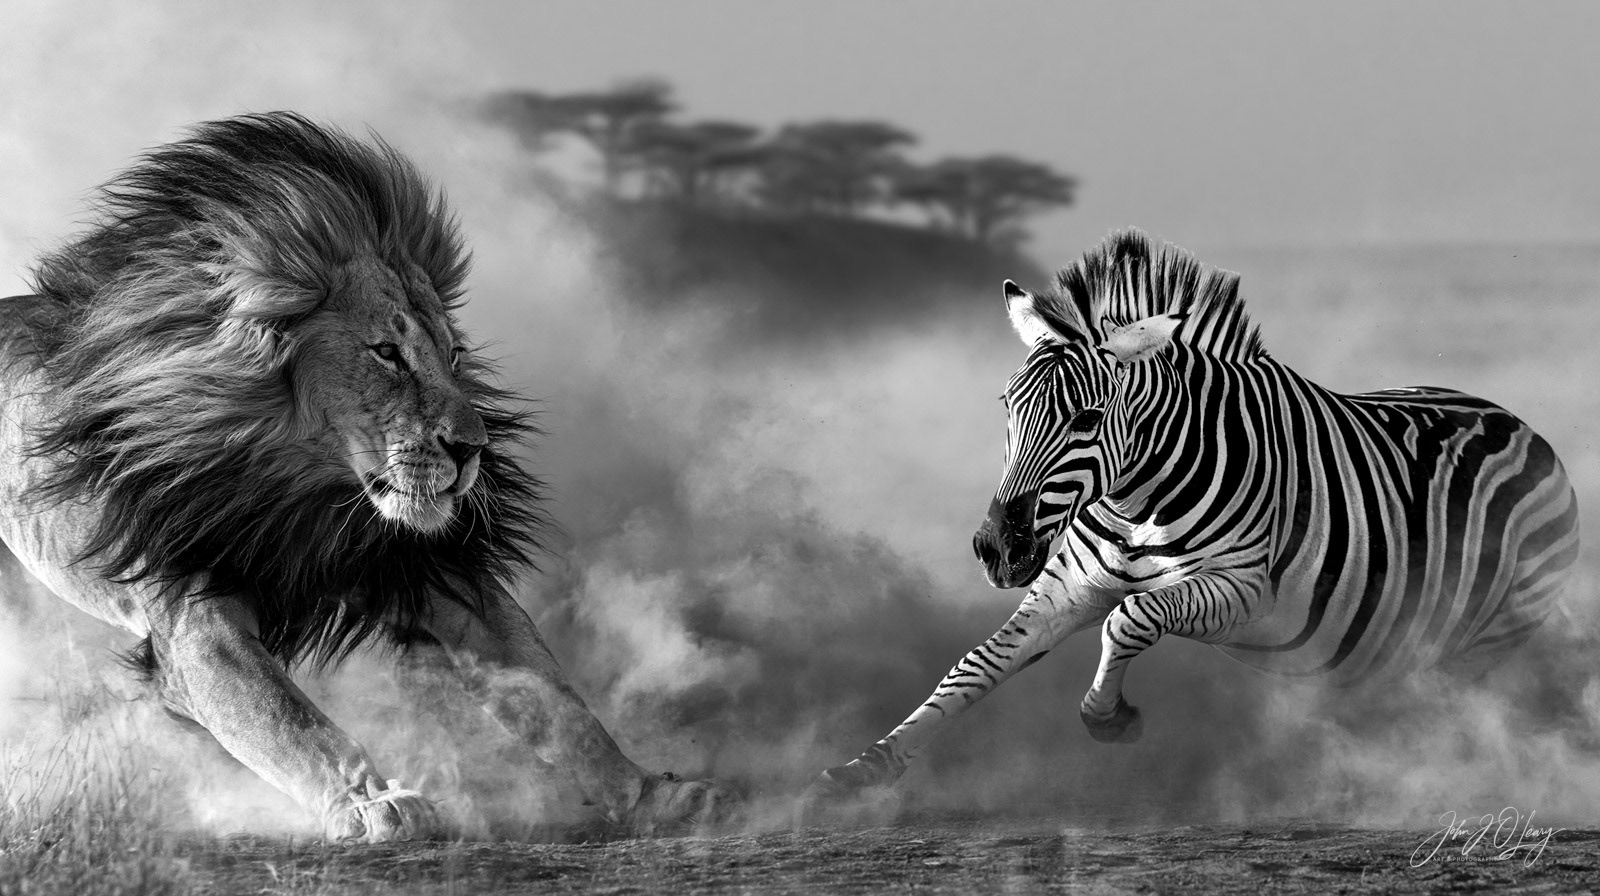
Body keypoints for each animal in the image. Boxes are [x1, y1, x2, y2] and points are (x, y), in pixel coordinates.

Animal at [812, 229, 1580, 798]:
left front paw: (1109, 717)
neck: (1138, 497)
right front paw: (867, 766)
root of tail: (1516, 422)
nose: (998, 548)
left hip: (1488, 638)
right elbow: (976, 663)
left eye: (1088, 418)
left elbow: (1132, 617)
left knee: (1455, 715)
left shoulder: (1248, 591)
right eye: (1007, 407)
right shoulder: (1067, 586)